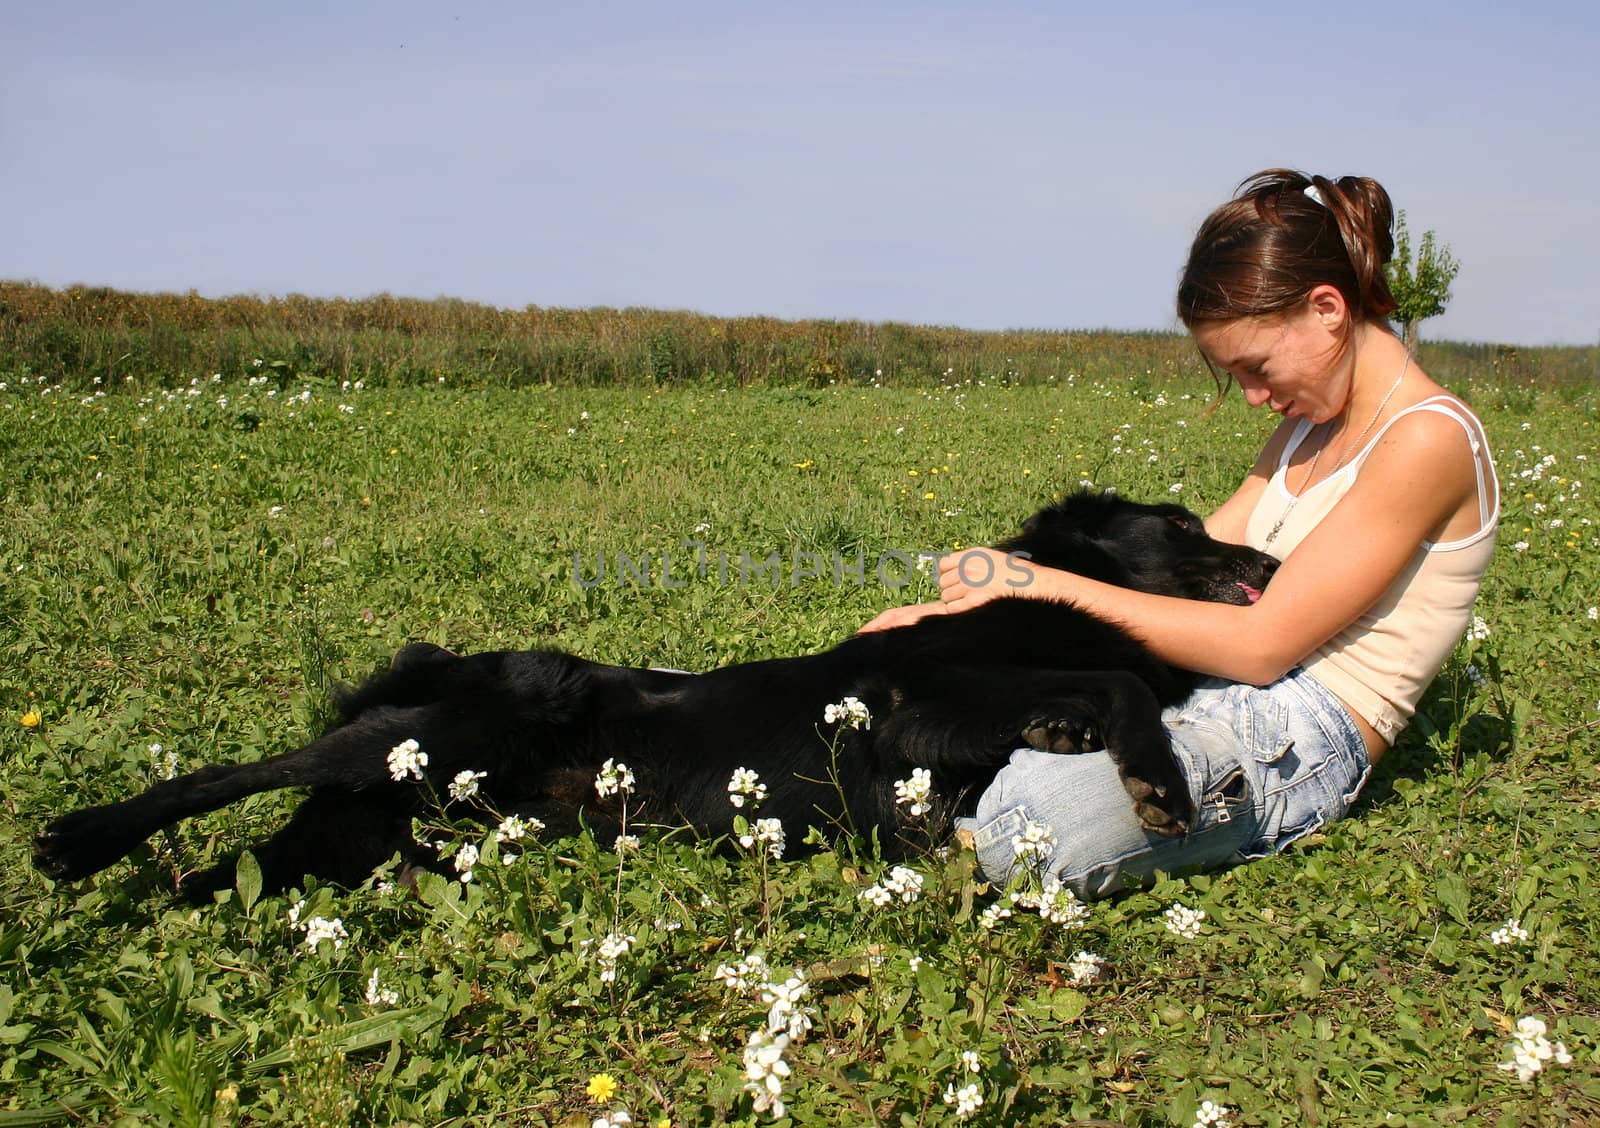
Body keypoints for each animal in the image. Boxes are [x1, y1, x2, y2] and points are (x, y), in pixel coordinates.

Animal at [34, 492, 1273, 896]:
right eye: (1179, 526)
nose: (1271, 564)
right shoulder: (915, 692)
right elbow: (1115, 673)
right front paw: (1157, 783)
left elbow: (1080, 689)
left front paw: (1070, 729)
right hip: (454, 724)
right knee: (230, 773)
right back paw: (79, 841)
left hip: (416, 824)